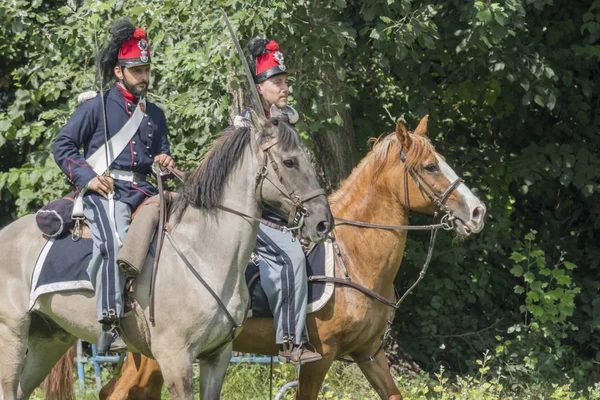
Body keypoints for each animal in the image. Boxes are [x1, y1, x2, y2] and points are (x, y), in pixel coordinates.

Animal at [48, 116, 488, 400]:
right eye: (430, 166)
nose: (478, 212)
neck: (355, 254)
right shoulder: (318, 359)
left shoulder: (369, 352)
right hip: (156, 356)